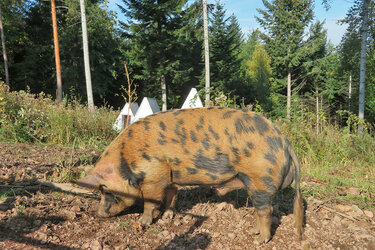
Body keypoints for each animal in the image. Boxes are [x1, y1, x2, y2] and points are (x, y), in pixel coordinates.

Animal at [75, 106, 304, 243]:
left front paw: (145, 221)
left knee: (266, 210)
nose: (98, 213)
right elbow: (171, 197)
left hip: (260, 179)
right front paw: (167, 217)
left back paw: (259, 240)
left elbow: (150, 202)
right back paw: (252, 232)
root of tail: (284, 141)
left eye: (105, 190)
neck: (128, 159)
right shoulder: (169, 177)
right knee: (260, 210)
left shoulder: (154, 177)